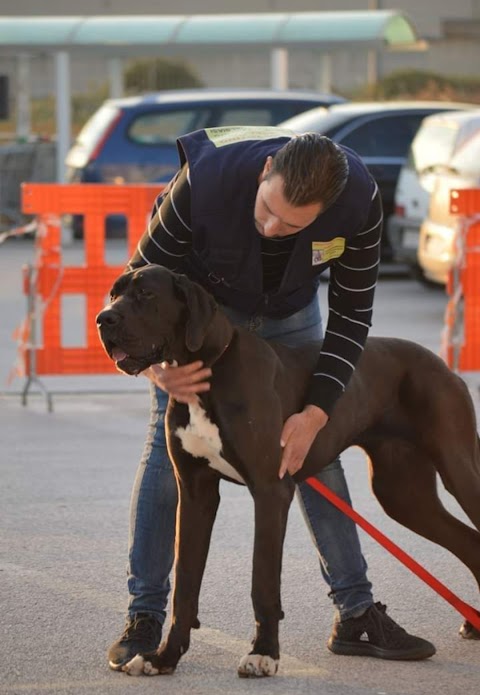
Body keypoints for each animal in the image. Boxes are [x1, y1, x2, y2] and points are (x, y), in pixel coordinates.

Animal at [95, 266, 480, 680]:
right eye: (114, 293)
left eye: (147, 295)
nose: (103, 319)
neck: (210, 369)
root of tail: (444, 365)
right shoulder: (196, 493)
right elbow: (185, 584)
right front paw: (164, 657)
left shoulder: (270, 490)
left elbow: (262, 580)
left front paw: (263, 653)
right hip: (403, 493)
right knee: (468, 541)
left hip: (458, 469)